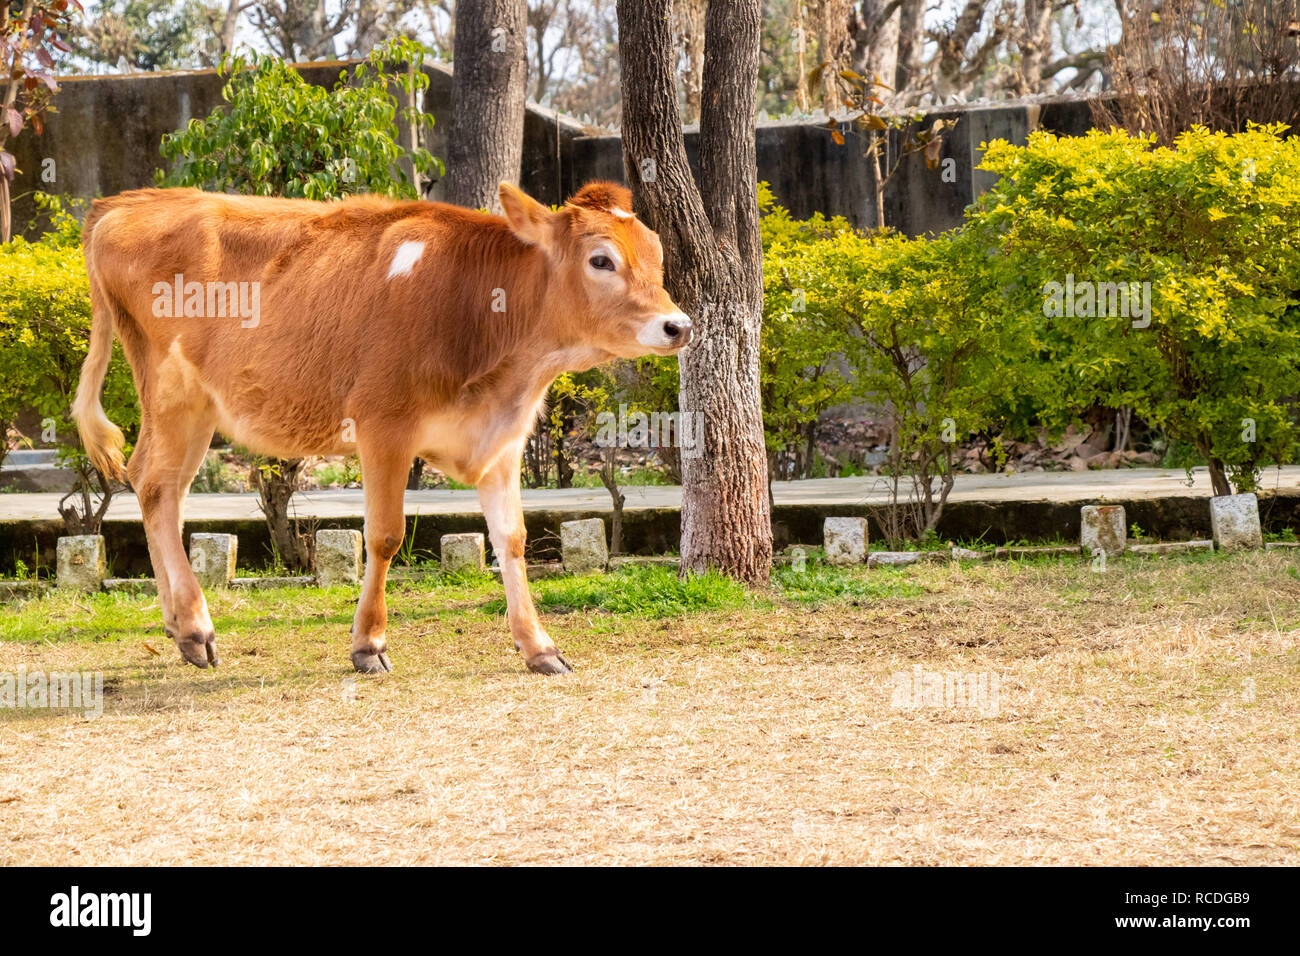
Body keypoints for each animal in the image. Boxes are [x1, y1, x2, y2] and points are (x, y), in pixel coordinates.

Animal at [72, 181, 692, 675]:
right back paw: (197, 626)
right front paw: (368, 644)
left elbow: (511, 538)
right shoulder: (383, 427)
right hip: (173, 392)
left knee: (158, 488)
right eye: (601, 260)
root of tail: (128, 202)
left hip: (196, 408)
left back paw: (179, 625)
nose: (679, 325)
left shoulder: (503, 439)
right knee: (157, 486)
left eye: (657, 254)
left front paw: (539, 646)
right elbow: (386, 536)